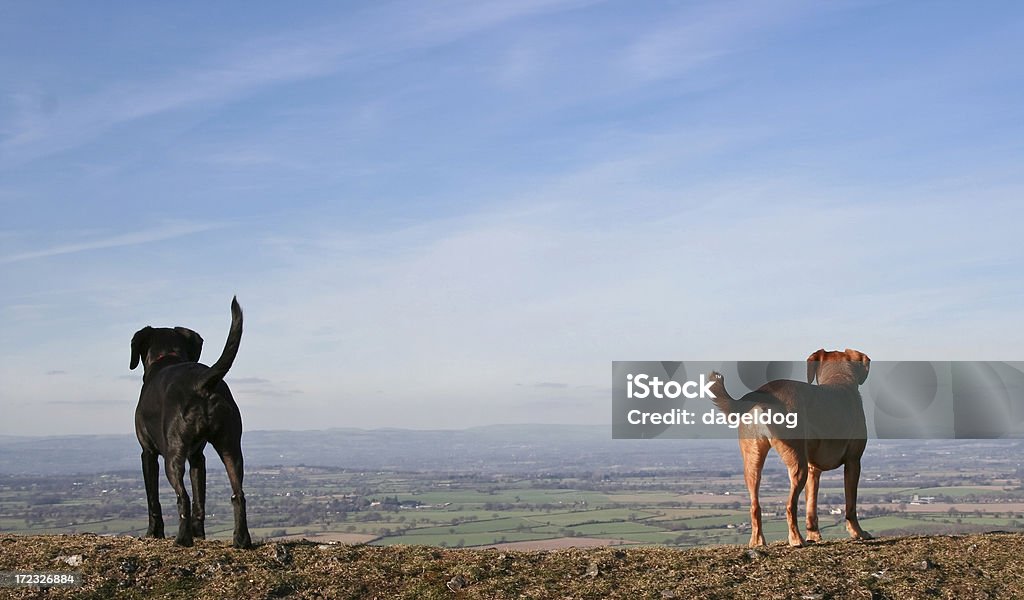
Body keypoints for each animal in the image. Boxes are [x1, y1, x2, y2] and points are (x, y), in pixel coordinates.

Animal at [129, 294, 250, 544]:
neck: (167, 357)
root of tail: (201, 383)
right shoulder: (197, 457)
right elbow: (199, 500)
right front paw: (199, 534)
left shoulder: (148, 453)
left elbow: (153, 499)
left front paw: (153, 533)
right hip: (231, 448)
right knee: (239, 494)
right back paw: (241, 540)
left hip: (172, 455)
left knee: (182, 496)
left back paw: (182, 540)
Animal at [712, 346, 872, 544]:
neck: (839, 378)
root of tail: (763, 393)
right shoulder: (853, 461)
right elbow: (851, 505)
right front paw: (858, 532)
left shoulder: (813, 469)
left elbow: (811, 506)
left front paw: (814, 535)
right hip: (797, 463)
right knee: (790, 504)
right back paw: (796, 539)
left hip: (753, 463)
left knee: (755, 505)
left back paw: (758, 541)